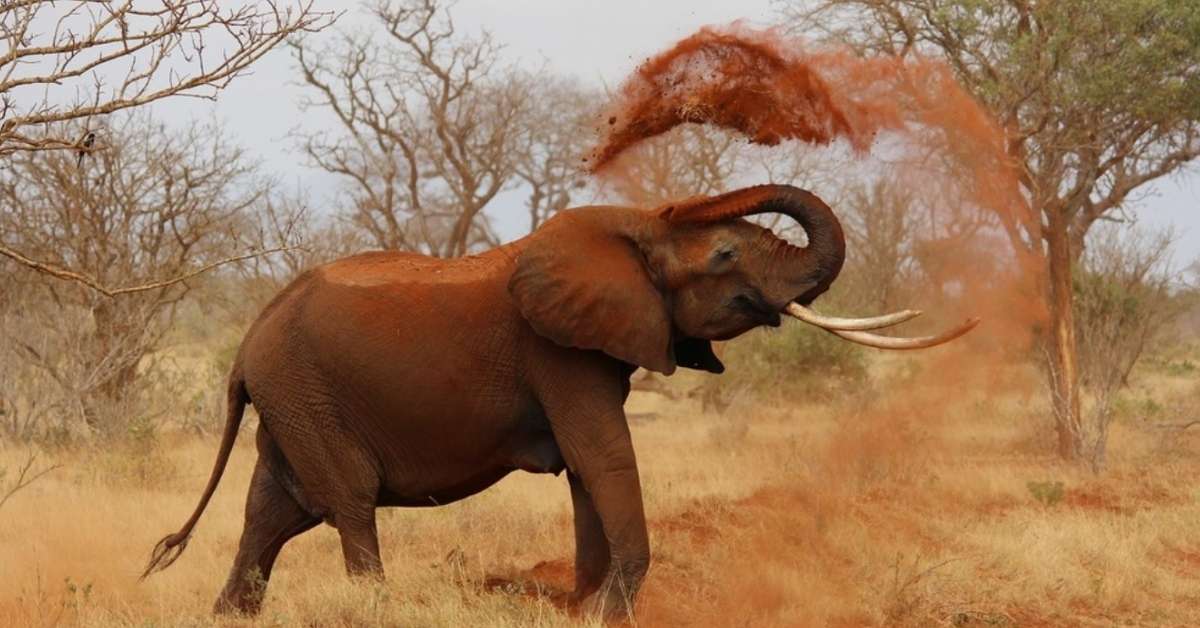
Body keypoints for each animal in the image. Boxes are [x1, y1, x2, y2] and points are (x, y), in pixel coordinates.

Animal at [141, 184, 974, 620]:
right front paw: (609, 611)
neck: (633, 228)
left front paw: (583, 607)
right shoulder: (559, 353)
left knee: (271, 515)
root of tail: (247, 344)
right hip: (306, 394)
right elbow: (602, 457)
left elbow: (585, 471)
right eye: (726, 254)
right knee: (346, 503)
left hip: (291, 401)